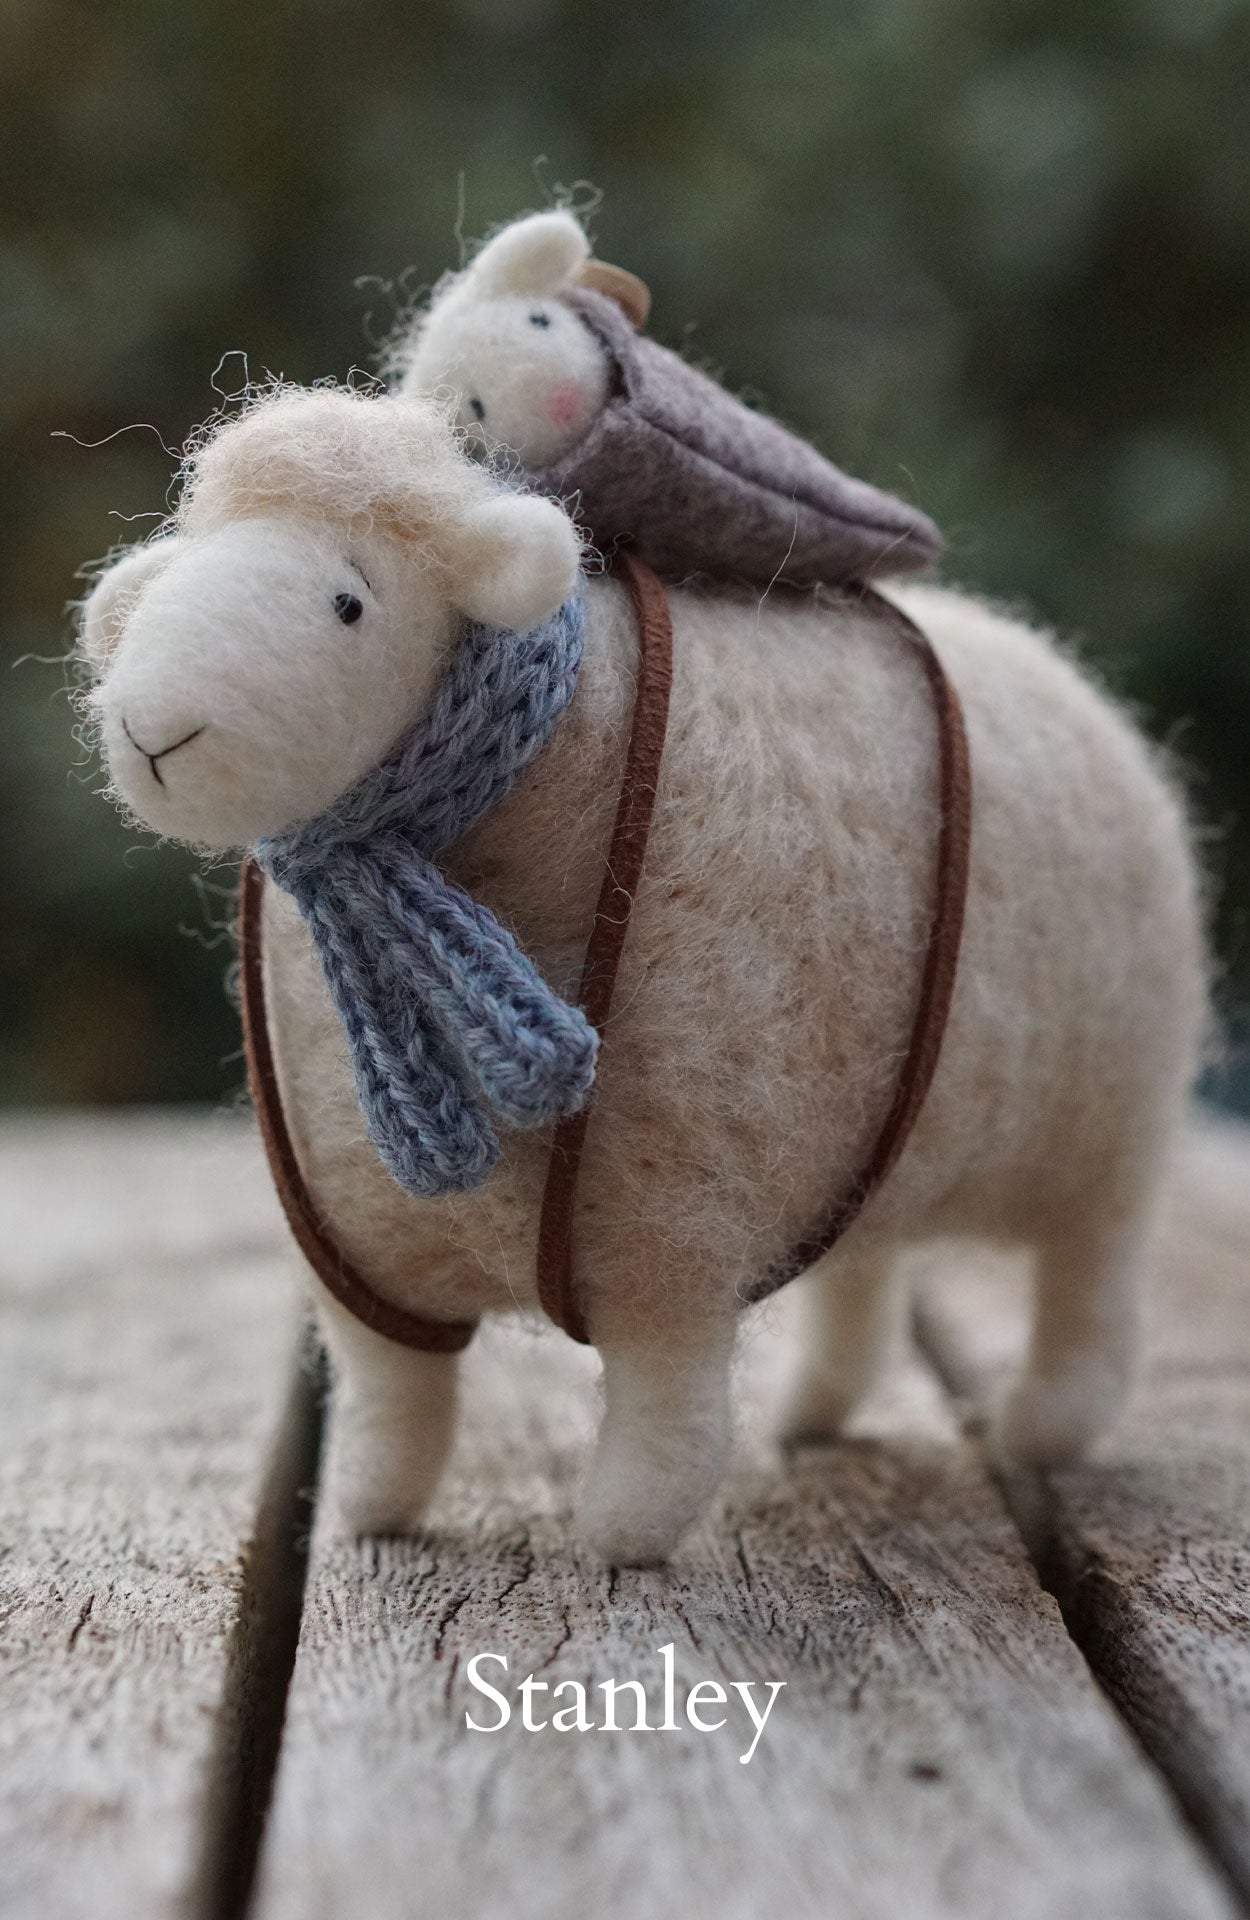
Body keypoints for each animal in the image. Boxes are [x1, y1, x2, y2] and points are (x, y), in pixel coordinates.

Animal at [83, 382, 1205, 1566]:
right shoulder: (367, 1245)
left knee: (1090, 1287)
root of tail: (1068, 679)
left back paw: (1047, 1424)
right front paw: (374, 1507)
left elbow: (666, 1413)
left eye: (350, 602)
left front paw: (625, 1530)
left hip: (1107, 1145)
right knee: (862, 1268)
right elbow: (396, 1399)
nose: (150, 727)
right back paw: (816, 1411)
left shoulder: (671, 1246)